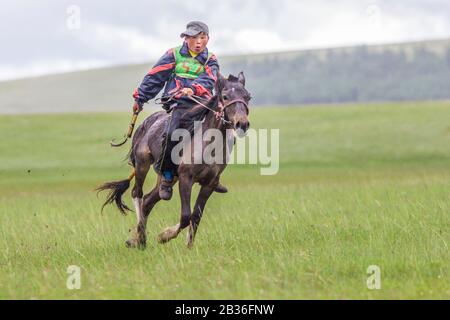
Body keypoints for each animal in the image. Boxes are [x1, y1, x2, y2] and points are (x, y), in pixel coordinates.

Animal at [97, 72, 251, 248]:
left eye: (248, 97)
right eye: (225, 97)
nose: (242, 124)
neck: (208, 143)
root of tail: (145, 124)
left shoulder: (209, 184)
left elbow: (196, 216)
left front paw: (189, 247)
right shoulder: (186, 178)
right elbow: (185, 216)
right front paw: (164, 235)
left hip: (167, 177)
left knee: (149, 200)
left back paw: (138, 238)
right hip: (142, 164)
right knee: (137, 193)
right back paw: (138, 238)